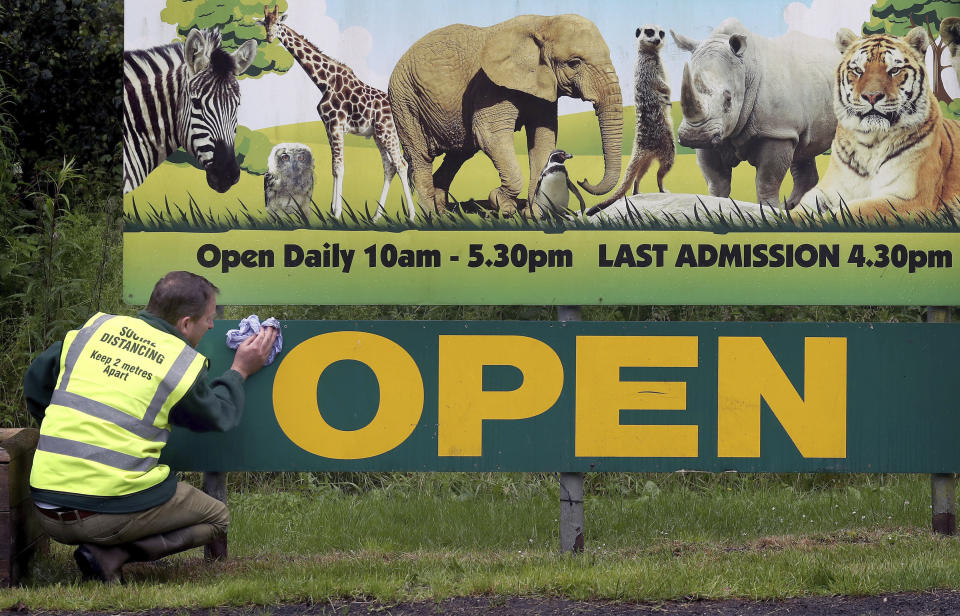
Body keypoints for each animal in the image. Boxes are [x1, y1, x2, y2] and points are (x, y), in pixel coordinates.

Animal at [260, 4, 414, 221]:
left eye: (278, 23)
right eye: (265, 23)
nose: (270, 36)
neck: (325, 82)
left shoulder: (336, 124)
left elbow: (339, 167)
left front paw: (337, 213)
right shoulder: (328, 125)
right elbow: (334, 167)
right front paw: (332, 209)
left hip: (387, 131)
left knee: (401, 164)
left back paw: (411, 215)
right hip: (378, 134)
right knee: (389, 167)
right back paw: (376, 217)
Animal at [386, 14, 628, 217]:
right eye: (574, 63)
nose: (583, 180)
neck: (543, 22)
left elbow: (543, 138)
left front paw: (534, 214)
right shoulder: (490, 84)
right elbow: (490, 135)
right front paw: (502, 206)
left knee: (459, 154)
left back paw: (445, 213)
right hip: (404, 101)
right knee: (420, 157)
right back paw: (431, 218)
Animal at [796, 27, 960, 219]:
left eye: (894, 70)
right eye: (858, 70)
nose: (872, 96)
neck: (870, 142)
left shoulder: (910, 199)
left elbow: (847, 212)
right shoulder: (829, 189)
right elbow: (800, 209)